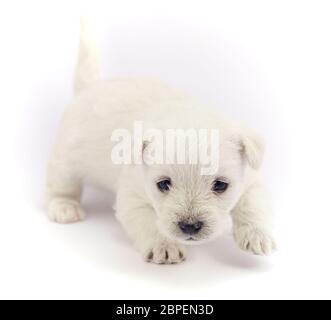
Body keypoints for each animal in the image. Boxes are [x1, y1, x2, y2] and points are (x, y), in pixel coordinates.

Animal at [46, 20, 274, 264]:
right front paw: (164, 246)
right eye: (163, 184)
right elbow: (149, 223)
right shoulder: (133, 197)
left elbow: (252, 206)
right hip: (66, 160)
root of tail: (89, 87)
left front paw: (258, 236)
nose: (190, 226)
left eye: (221, 185)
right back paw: (65, 207)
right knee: (60, 186)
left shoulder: (251, 181)